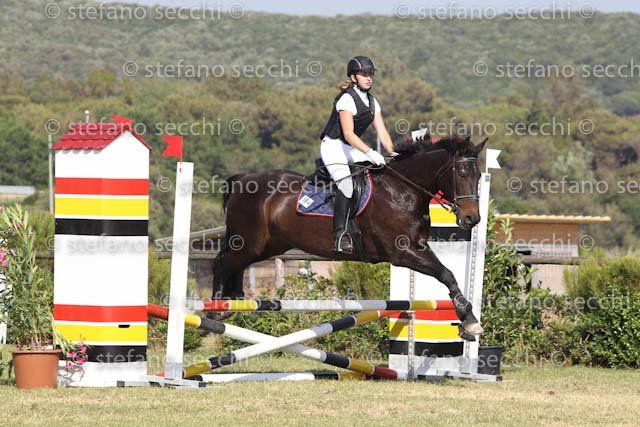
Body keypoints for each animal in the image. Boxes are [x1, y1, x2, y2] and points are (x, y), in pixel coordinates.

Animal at [211, 134, 488, 340]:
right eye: (462, 173)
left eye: (478, 176)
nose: (472, 219)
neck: (403, 190)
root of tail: (243, 179)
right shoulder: (402, 252)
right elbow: (446, 274)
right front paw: (470, 321)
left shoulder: (418, 246)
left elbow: (447, 273)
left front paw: (468, 321)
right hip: (250, 242)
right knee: (221, 264)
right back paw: (216, 311)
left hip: (267, 245)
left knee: (235, 264)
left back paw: (233, 300)